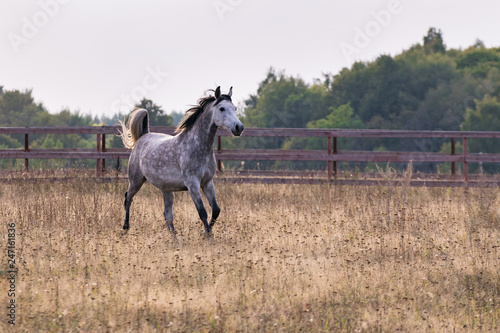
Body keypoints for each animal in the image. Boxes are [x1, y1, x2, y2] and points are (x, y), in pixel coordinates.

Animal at [121, 87, 246, 235]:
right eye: (222, 108)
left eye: (235, 108)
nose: (239, 127)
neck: (197, 147)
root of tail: (144, 135)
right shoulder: (193, 184)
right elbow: (202, 212)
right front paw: (207, 236)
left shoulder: (207, 183)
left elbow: (216, 210)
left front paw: (205, 232)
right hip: (136, 180)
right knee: (128, 198)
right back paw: (125, 228)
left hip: (166, 189)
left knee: (167, 214)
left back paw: (174, 237)